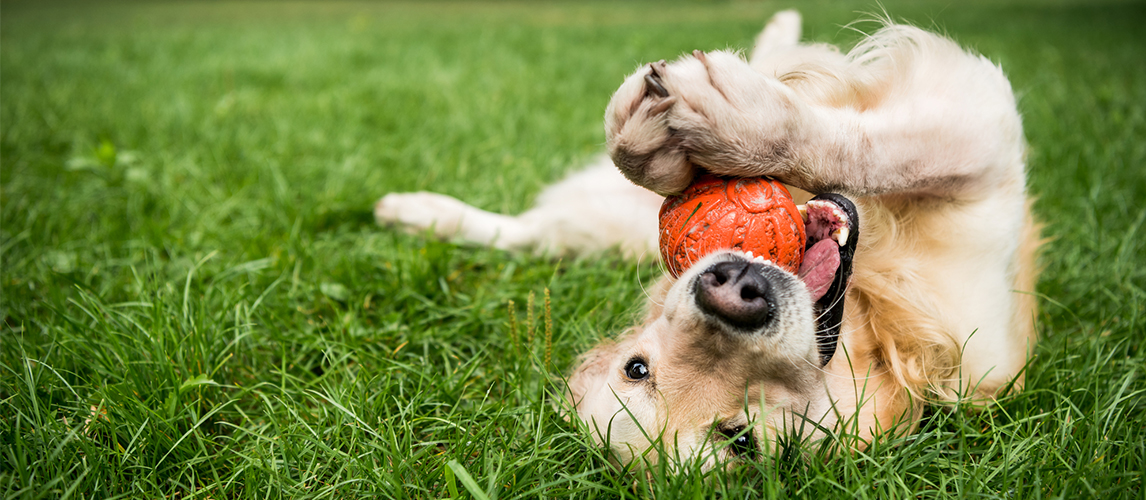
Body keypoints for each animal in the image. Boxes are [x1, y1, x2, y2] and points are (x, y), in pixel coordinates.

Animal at [375, 9, 1040, 467]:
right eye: (639, 368)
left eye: (741, 436)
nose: (733, 289)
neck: (871, 320)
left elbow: (867, 145)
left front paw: (725, 124)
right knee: (531, 232)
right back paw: (415, 213)